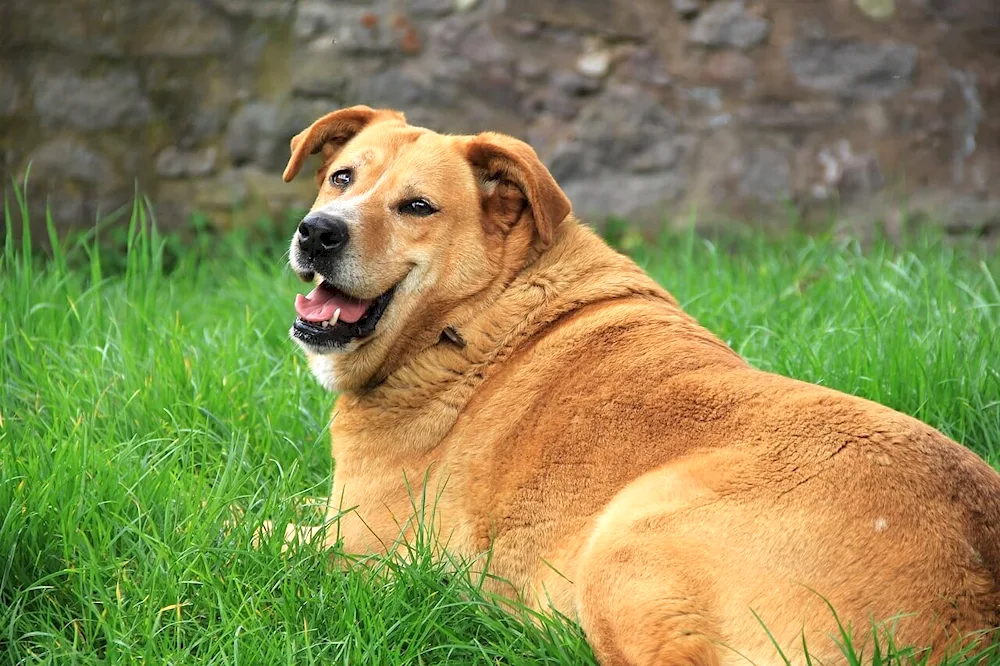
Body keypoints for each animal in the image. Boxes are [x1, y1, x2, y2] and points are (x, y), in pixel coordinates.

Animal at [276, 105, 1000, 664]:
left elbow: (258, 532)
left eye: (418, 206)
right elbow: (274, 509)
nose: (317, 232)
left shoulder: (359, 548)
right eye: (342, 178)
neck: (473, 316)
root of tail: (973, 608)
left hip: (628, 537)